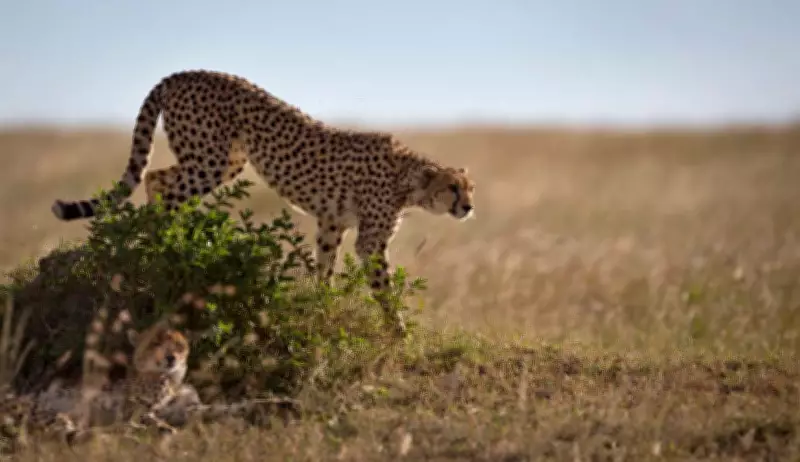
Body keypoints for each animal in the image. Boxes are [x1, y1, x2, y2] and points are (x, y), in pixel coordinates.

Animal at [50, 69, 476, 333]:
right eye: (453, 188)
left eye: (470, 188)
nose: (469, 207)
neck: (409, 179)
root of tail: (183, 73)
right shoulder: (369, 241)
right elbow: (382, 287)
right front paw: (396, 329)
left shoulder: (331, 223)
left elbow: (324, 267)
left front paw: (322, 304)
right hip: (210, 160)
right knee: (160, 183)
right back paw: (164, 237)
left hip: (226, 161)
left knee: (157, 178)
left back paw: (166, 233)